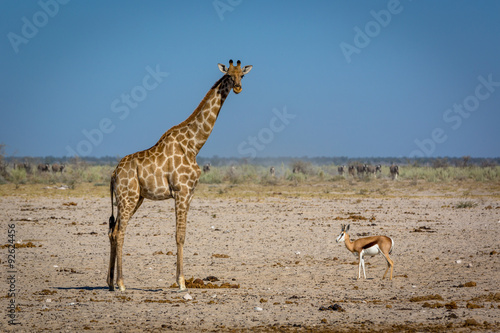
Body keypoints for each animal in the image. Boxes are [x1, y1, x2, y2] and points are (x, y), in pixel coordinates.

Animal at [107, 59, 252, 290]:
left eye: (242, 75)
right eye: (229, 75)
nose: (237, 87)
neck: (194, 145)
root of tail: (113, 174)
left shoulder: (190, 193)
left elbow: (183, 234)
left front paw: (181, 280)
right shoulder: (181, 191)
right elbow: (179, 236)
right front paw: (182, 282)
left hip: (134, 198)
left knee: (113, 231)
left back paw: (110, 283)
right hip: (127, 197)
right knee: (120, 232)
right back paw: (121, 283)